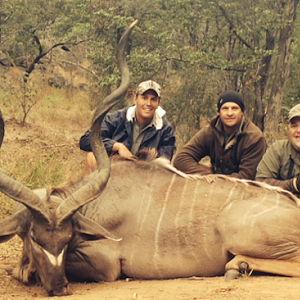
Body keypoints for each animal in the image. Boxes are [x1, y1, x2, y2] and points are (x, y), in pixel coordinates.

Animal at [1, 19, 300, 298]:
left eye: (67, 238)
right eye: (34, 237)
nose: (59, 287)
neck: (98, 204)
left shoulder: (107, 263)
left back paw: (237, 266)